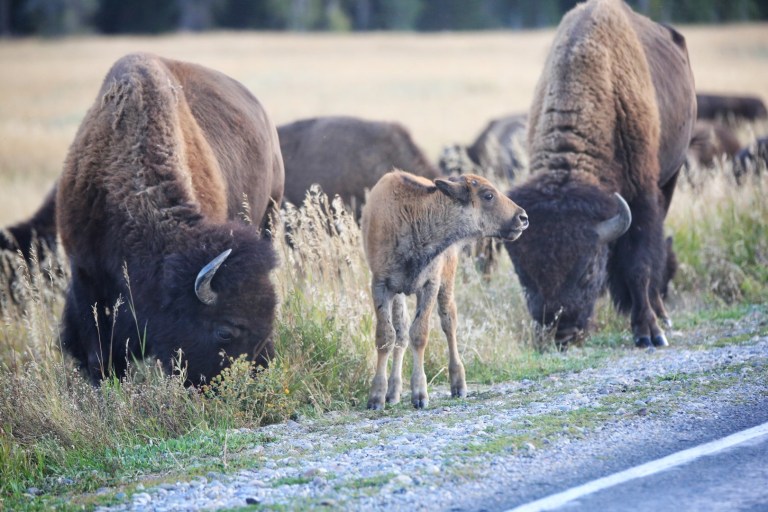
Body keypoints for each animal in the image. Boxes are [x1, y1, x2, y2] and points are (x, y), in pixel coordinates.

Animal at [504, 0, 696, 349]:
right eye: (523, 274)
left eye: (588, 273)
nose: (561, 333)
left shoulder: (643, 195)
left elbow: (639, 264)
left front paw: (648, 332)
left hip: (671, 176)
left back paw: (660, 316)